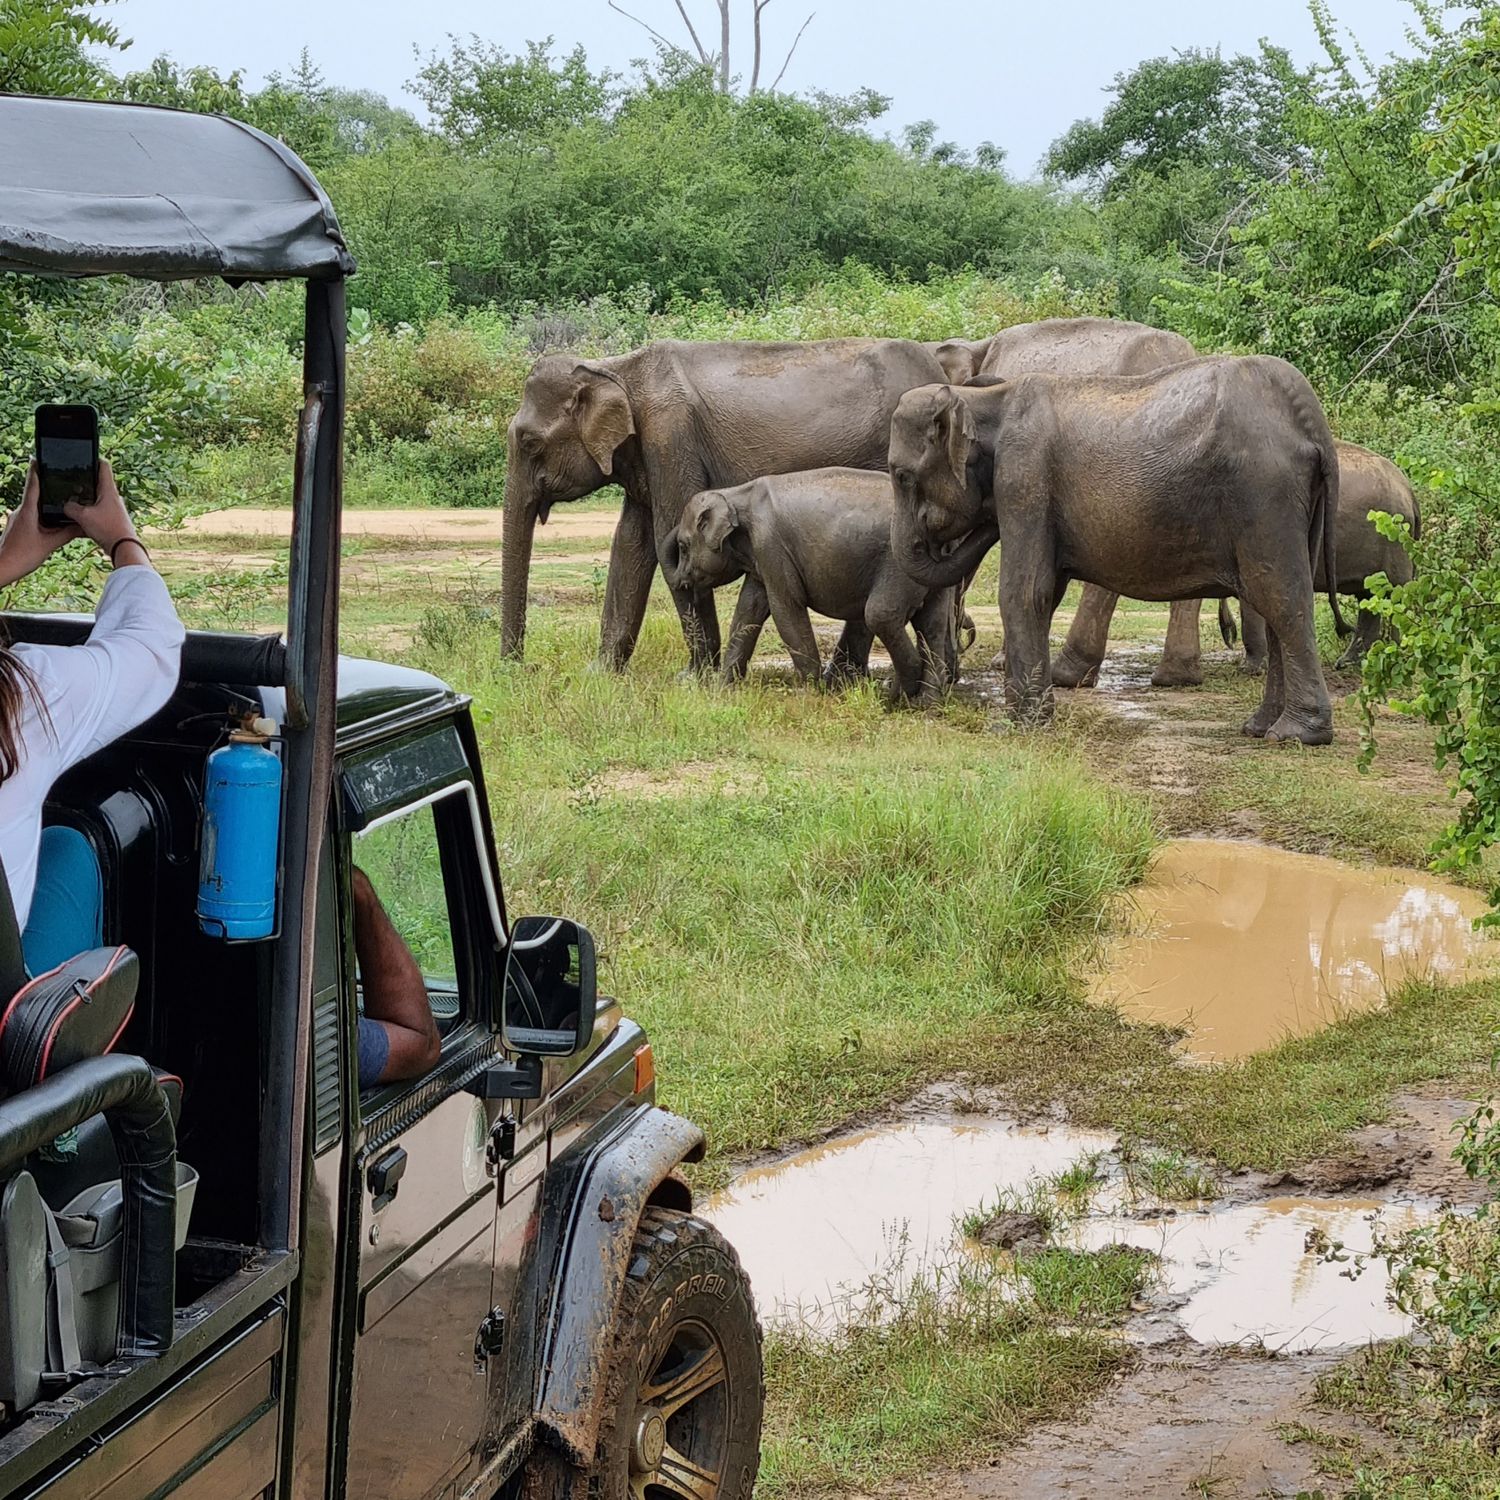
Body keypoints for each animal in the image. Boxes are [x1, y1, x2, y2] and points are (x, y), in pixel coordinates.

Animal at [504, 343, 948, 672]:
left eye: (529, 442)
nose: (519, 667)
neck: (613, 368)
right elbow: (630, 545)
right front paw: (600, 675)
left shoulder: (670, 438)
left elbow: (665, 532)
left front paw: (693, 677)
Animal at [675, 468, 954, 702]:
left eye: (683, 546)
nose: (681, 579)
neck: (736, 493)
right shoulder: (762, 558)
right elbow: (748, 609)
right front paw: (722, 689)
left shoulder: (771, 546)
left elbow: (786, 609)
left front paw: (812, 693)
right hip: (934, 573)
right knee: (933, 623)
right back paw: (927, 702)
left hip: (899, 563)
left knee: (881, 614)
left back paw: (897, 695)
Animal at [888, 357, 1350, 744]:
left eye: (902, 476)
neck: (985, 399)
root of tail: (1310, 422)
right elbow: (1048, 590)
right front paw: (1024, 716)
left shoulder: (1023, 475)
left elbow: (1027, 591)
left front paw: (1019, 725)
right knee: (1276, 602)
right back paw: (1259, 727)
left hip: (1264, 495)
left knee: (1280, 598)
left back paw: (1296, 735)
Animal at [1056, 438, 1416, 687]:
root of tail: (1409, 491)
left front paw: (1251, 668)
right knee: (1371, 601)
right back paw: (1353, 663)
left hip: (1394, 549)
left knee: (1391, 599)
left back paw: (1389, 659)